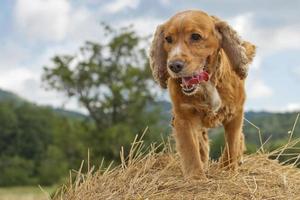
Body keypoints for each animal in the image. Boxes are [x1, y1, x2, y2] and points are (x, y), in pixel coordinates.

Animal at [149, 10, 254, 180]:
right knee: (201, 142)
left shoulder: (235, 113)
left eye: (195, 36)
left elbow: (232, 144)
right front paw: (196, 177)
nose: (174, 66)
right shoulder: (183, 117)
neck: (206, 84)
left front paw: (228, 170)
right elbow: (190, 150)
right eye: (168, 39)